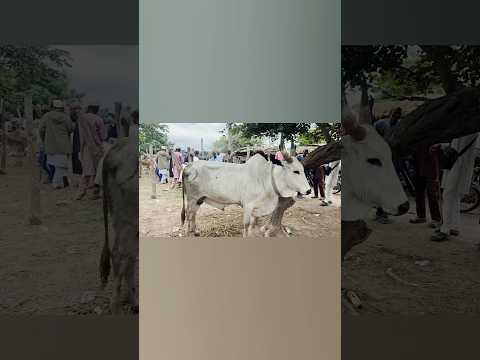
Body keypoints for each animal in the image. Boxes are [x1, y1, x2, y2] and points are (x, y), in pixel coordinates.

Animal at [181, 153, 312, 238]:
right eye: (296, 171)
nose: (309, 190)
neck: (266, 178)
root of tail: (189, 166)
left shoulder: (256, 208)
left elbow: (253, 225)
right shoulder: (248, 205)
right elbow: (246, 224)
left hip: (199, 199)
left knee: (193, 214)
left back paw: (195, 231)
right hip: (192, 198)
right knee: (189, 215)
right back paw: (188, 233)